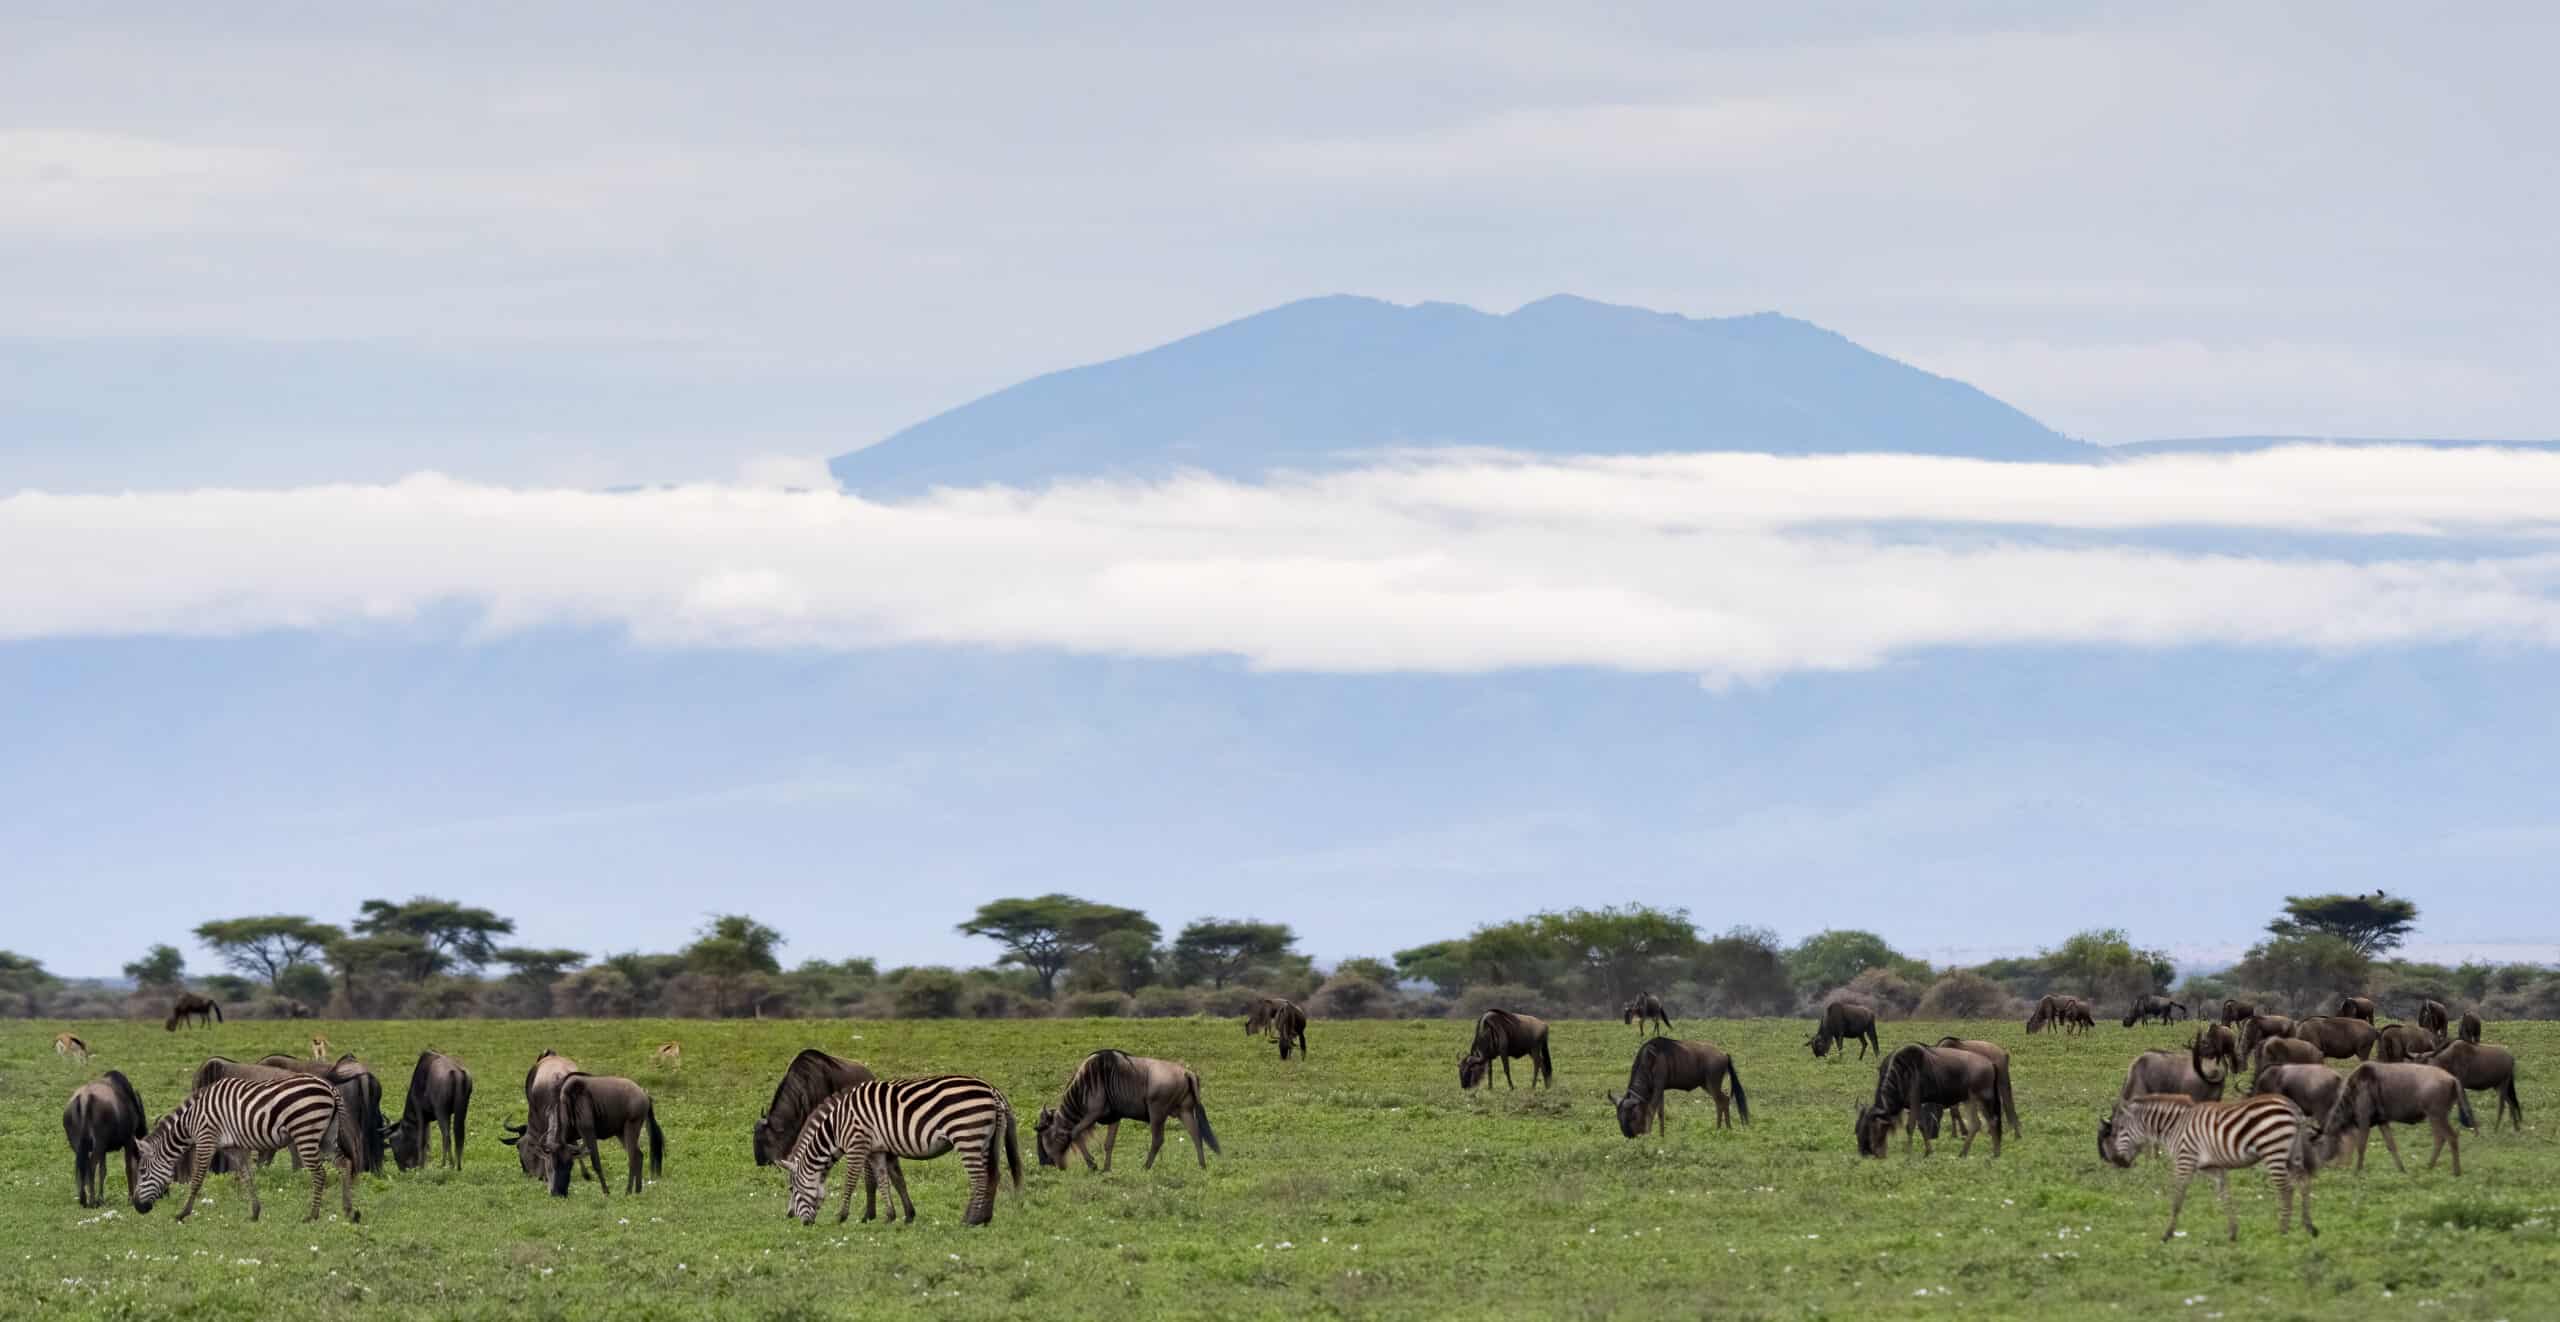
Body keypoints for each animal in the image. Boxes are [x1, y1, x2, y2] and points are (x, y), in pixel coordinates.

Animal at [130, 1075, 362, 1223]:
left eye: (142, 1171)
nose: (137, 1207)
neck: (190, 1120)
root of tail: (330, 1087)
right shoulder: (235, 1147)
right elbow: (247, 1176)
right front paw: (255, 1213)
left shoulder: (206, 1139)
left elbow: (197, 1179)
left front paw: (183, 1213)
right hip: (326, 1137)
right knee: (345, 1164)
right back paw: (348, 1210)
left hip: (306, 1132)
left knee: (320, 1174)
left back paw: (312, 1215)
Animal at [781, 1076, 1021, 1227]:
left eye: (792, 1189)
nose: (792, 1217)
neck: (837, 1125)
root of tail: (992, 1090)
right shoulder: (878, 1150)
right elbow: (886, 1180)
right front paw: (893, 1216)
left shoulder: (857, 1144)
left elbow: (852, 1181)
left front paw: (842, 1216)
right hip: (987, 1140)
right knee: (993, 1175)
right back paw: (984, 1219)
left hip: (967, 1136)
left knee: (979, 1178)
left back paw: (970, 1220)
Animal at [2099, 1092, 2317, 1242]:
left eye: (2119, 1130)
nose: (2118, 1162)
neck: (2174, 1127)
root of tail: (2292, 1106)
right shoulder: (2213, 1167)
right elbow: (2225, 1196)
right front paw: (2233, 1233)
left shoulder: (2185, 1160)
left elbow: (2177, 1198)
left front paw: (2167, 1234)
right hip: (2292, 1155)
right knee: (2303, 1181)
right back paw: (2309, 1227)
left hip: (2273, 1150)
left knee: (2286, 1188)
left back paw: (2283, 1231)